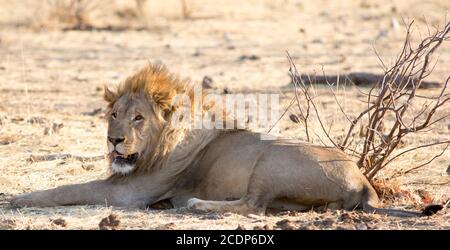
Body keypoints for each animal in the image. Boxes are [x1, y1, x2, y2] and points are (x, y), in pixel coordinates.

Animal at [9, 64, 426, 217]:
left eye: (138, 117)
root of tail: (363, 180)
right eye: (114, 114)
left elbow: (70, 188)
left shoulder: (133, 192)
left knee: (252, 207)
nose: (114, 141)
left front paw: (19, 198)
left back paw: (196, 204)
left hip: (271, 159)